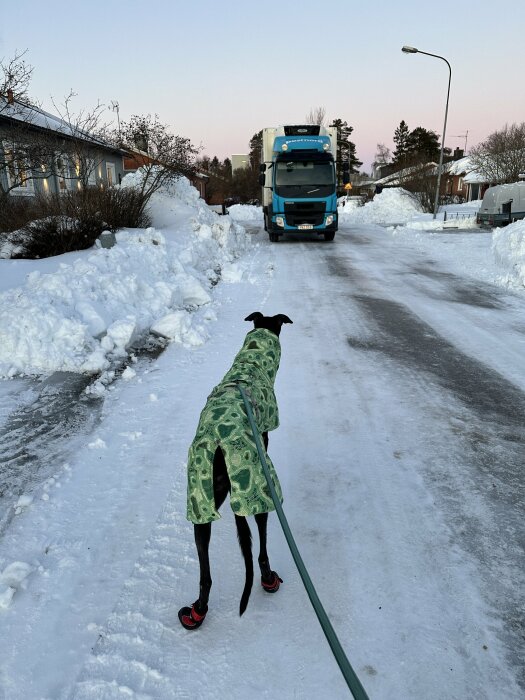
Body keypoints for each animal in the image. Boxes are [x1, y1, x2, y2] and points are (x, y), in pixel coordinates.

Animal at [178, 312, 292, 628]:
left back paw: (198, 611)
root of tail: (220, 444)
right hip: (261, 485)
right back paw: (268, 579)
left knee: (206, 574)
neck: (249, 367)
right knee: (261, 548)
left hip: (201, 500)